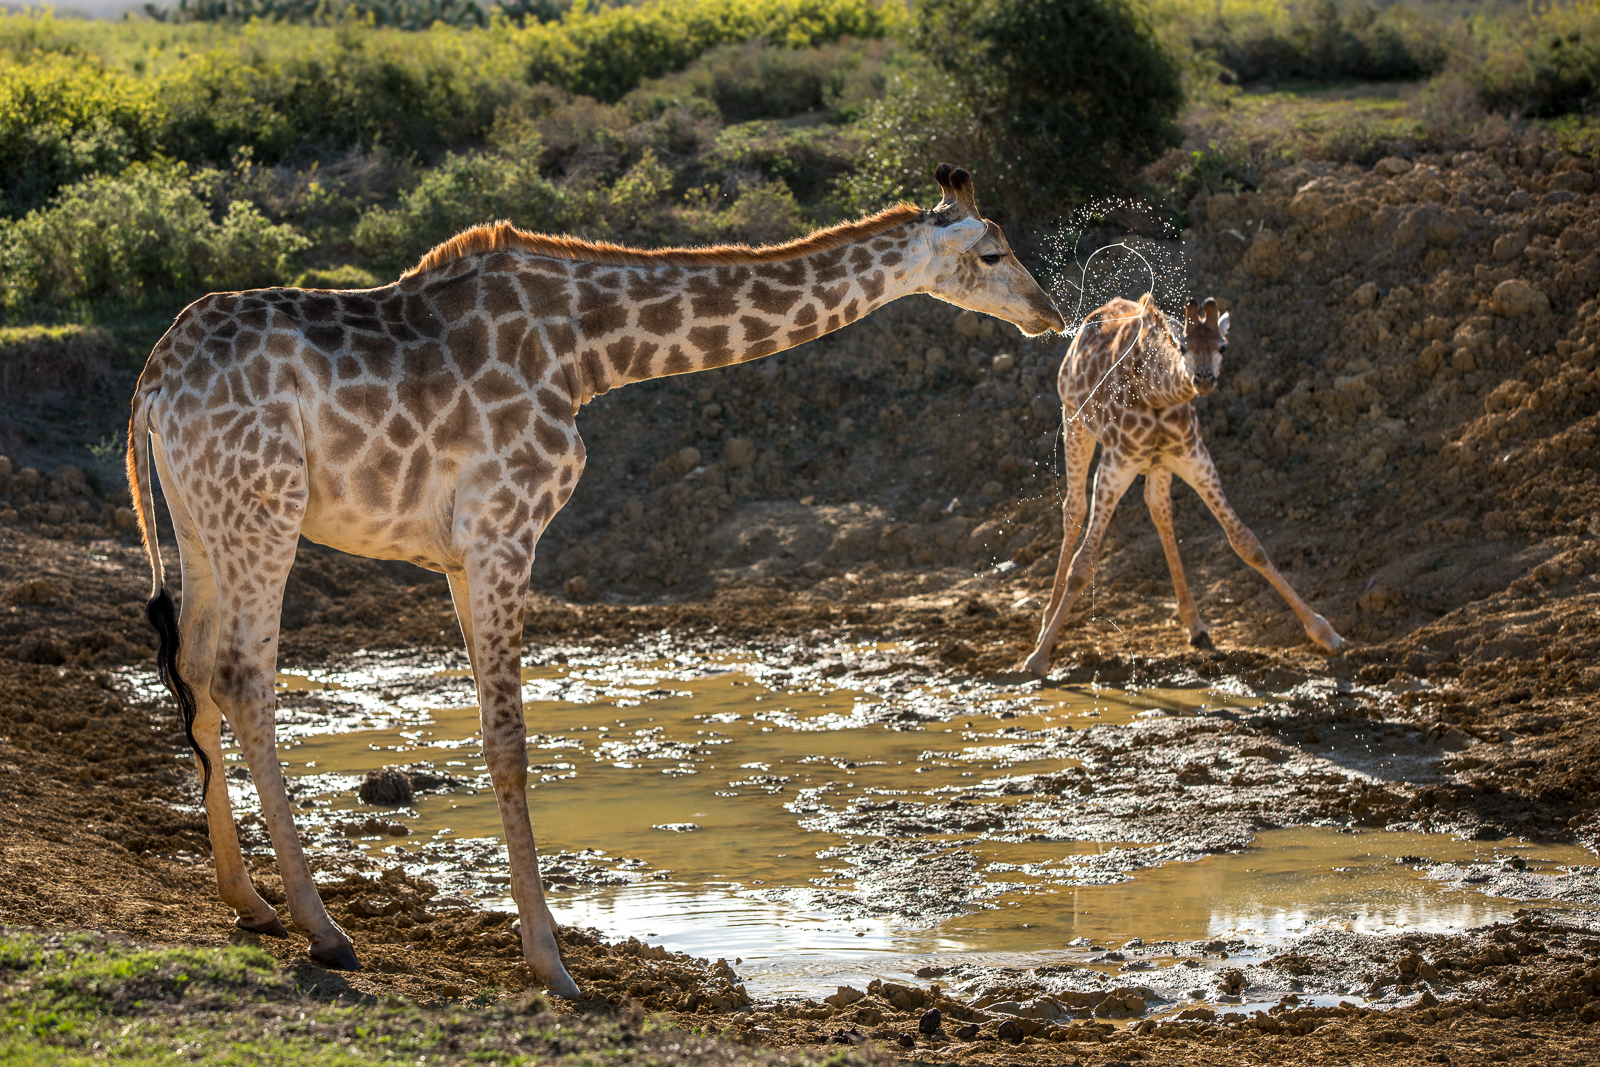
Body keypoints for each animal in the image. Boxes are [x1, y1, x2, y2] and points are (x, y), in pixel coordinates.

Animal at [124, 164, 1062, 991]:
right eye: (991, 253)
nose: (1048, 313)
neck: (588, 351)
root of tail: (152, 383)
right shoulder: (505, 529)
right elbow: (508, 739)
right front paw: (552, 962)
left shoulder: (463, 553)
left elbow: (495, 728)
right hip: (264, 510)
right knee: (244, 676)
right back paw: (325, 929)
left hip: (203, 520)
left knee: (198, 668)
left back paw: (249, 901)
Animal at [1017, 292, 1344, 675]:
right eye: (1184, 345)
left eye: (1222, 346)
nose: (1203, 379)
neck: (1156, 395)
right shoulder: (1116, 464)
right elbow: (1083, 566)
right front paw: (1038, 659)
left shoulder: (1193, 456)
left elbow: (1248, 543)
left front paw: (1326, 633)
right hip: (1074, 420)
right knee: (1075, 506)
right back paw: (1046, 625)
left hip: (1156, 464)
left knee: (1158, 508)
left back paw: (1197, 627)